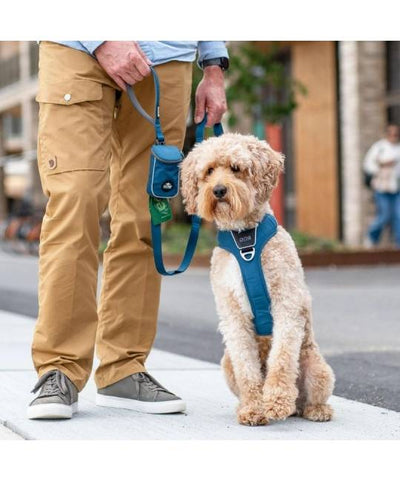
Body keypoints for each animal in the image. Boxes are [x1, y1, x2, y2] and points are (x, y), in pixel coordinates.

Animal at [181, 131, 334, 424]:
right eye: (209, 171)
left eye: (236, 168)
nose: (219, 190)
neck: (245, 241)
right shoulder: (233, 316)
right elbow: (247, 369)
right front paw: (254, 407)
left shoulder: (286, 305)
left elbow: (282, 359)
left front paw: (275, 401)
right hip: (226, 363)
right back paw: (245, 405)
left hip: (317, 367)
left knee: (310, 395)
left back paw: (313, 409)